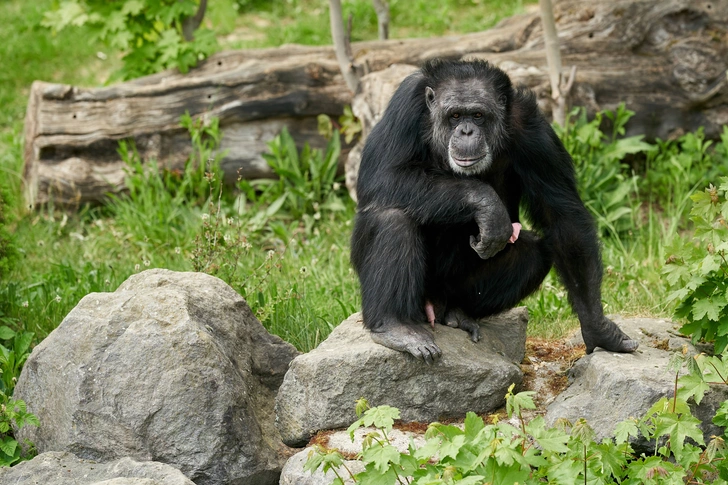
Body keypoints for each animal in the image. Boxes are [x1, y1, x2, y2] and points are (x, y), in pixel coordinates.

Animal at [350, 58, 640, 362]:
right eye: (455, 116)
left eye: (478, 115)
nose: (466, 131)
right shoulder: (404, 105)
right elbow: (383, 176)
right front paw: (487, 205)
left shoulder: (534, 128)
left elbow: (561, 215)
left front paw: (598, 328)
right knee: (393, 217)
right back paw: (396, 326)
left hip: (452, 291)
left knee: (534, 252)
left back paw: (458, 315)